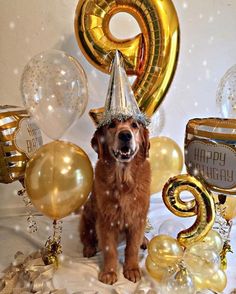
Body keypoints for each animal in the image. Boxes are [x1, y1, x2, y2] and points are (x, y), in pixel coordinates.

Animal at [79, 117, 149, 284]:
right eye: (112, 125)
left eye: (134, 125)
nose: (125, 135)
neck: (123, 181)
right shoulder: (106, 221)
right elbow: (109, 249)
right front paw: (109, 272)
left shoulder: (138, 218)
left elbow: (132, 248)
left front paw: (132, 269)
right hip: (87, 214)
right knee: (86, 237)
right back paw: (89, 248)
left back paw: (144, 240)